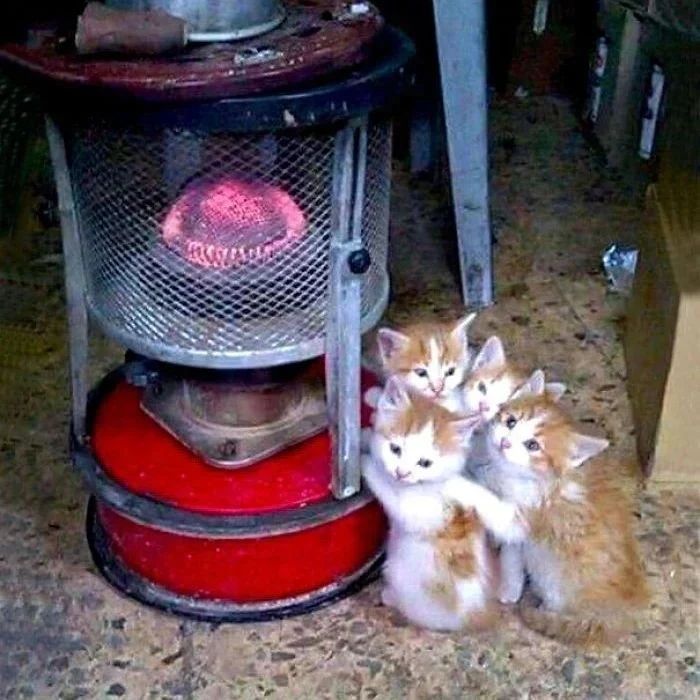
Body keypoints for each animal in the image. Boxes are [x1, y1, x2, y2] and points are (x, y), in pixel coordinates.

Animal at [361, 376, 526, 632]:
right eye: (395, 449)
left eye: (425, 463)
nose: (401, 472)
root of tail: (478, 614)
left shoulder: (420, 509)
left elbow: (388, 491)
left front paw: (365, 462)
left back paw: (390, 597)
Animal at [461, 370, 649, 645]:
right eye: (511, 421)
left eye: (532, 445)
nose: (505, 442)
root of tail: (623, 613)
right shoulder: (520, 532)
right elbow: (512, 552)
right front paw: (510, 585)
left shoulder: (526, 514)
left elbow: (491, 507)